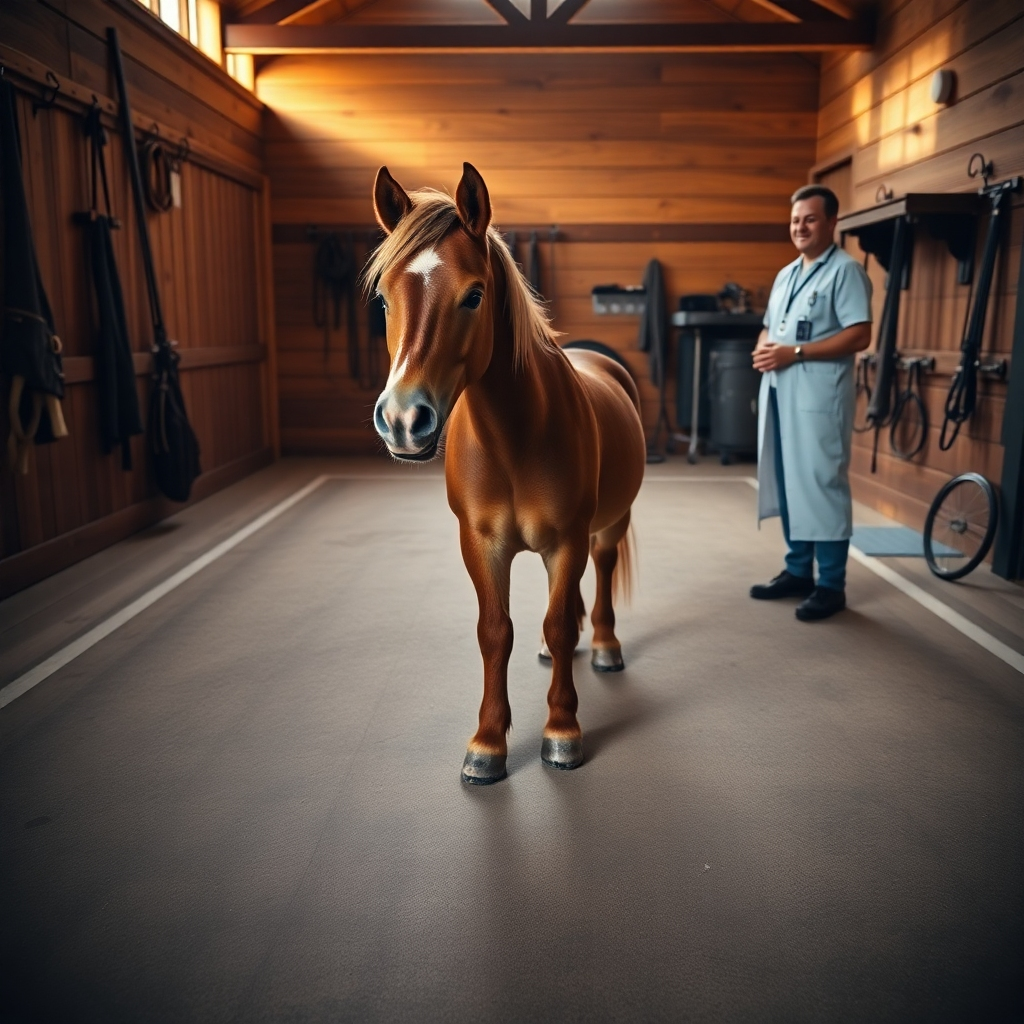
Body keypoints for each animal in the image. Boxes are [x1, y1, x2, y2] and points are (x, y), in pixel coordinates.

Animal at [368, 162, 646, 785]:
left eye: (473, 295)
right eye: (384, 301)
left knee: (601, 570)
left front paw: (562, 732)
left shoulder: (567, 539)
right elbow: (496, 632)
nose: (402, 420)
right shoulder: (481, 543)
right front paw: (488, 743)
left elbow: (561, 625)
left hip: (608, 525)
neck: (515, 439)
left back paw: (606, 645)